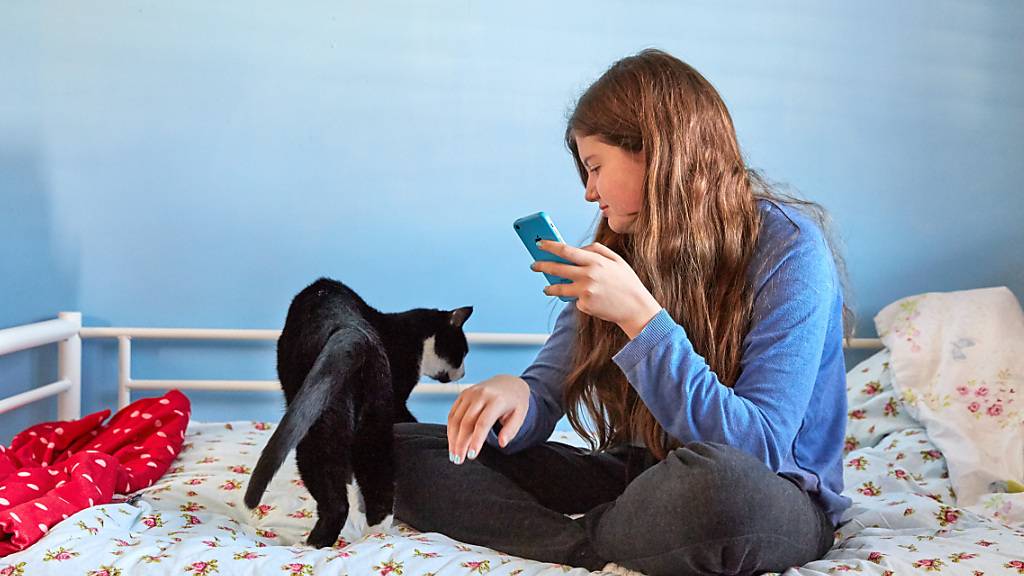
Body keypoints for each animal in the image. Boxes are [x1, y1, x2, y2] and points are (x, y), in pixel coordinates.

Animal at [245, 276, 473, 545]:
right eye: (463, 352)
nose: (464, 373)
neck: (411, 339)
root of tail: (354, 332)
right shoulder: (396, 400)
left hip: (320, 428)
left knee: (336, 502)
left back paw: (312, 543)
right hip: (374, 420)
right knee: (379, 482)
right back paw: (374, 536)